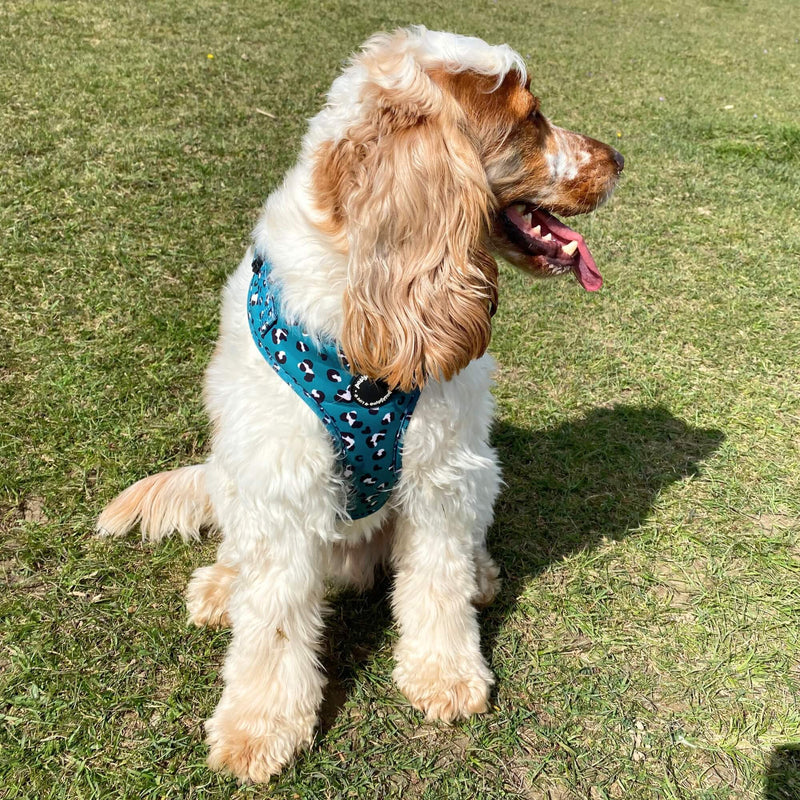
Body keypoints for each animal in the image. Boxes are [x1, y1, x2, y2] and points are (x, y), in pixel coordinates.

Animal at [97, 26, 624, 780]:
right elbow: (273, 621)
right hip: (231, 472)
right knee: (241, 555)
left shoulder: (442, 473)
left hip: (482, 473)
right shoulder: (281, 483)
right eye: (531, 121)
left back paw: (481, 575)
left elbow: (436, 582)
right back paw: (222, 587)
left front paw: (445, 677)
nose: (619, 160)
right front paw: (257, 729)